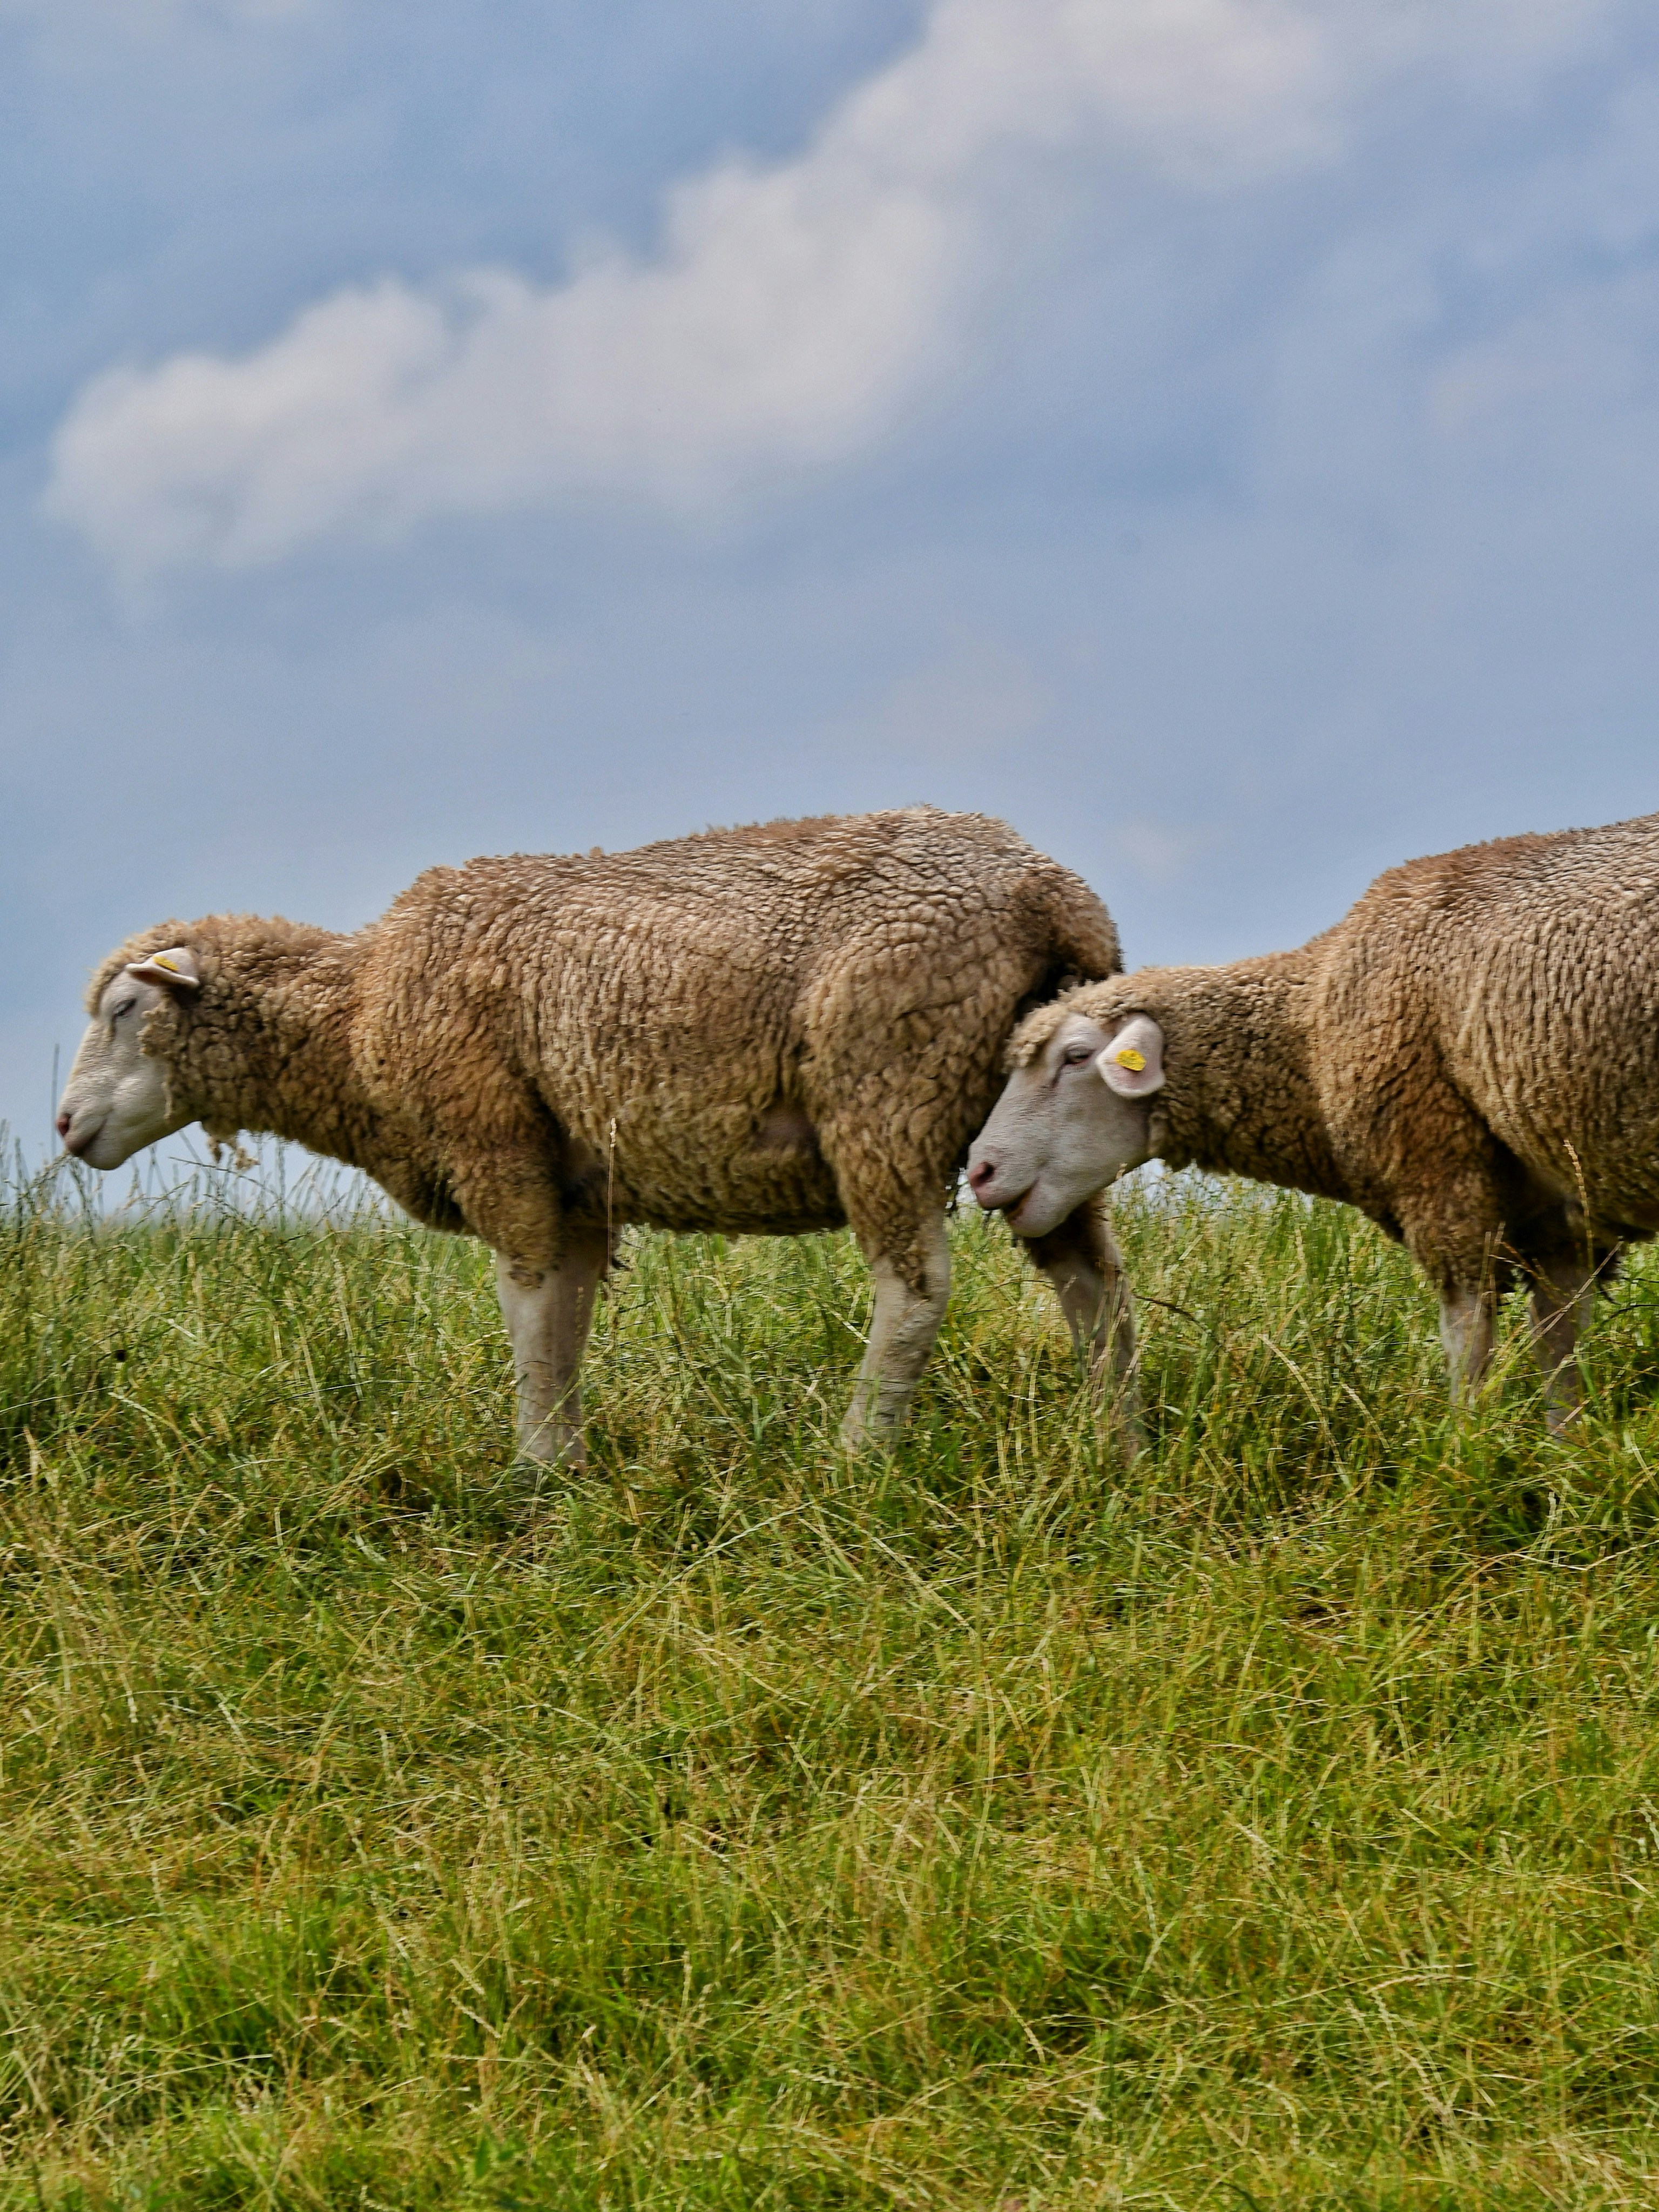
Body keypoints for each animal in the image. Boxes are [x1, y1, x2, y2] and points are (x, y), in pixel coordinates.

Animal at [57, 807, 1137, 1477]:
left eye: (124, 1010)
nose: (67, 1126)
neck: (356, 1018)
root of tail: (1051, 894)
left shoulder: (492, 1138)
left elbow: (526, 1304)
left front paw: (533, 1466)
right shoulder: (571, 1177)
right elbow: (567, 1312)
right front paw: (567, 1461)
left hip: (885, 1091)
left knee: (914, 1288)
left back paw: (860, 1451)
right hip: (1041, 1124)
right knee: (1091, 1276)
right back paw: (1113, 1432)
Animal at [966, 811, 1659, 1428]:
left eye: (1076, 1056)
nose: (980, 1171)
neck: (1312, 1030)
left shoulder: (1439, 1169)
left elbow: (1469, 1339)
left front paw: (1469, 1449)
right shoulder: (1561, 1214)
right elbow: (1561, 1352)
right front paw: (1562, 1454)